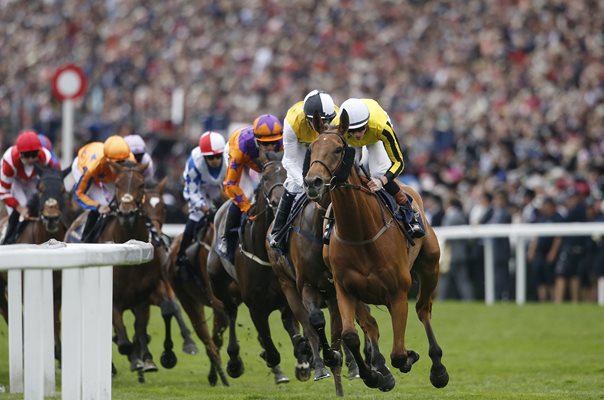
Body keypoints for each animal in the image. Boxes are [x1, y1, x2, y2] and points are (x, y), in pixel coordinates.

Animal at [206, 152, 312, 384]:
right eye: (265, 177)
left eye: (290, 175)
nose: (279, 201)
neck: (265, 255)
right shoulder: (255, 307)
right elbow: (272, 350)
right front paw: (267, 355)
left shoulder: (287, 299)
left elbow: (294, 331)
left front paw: (303, 361)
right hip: (221, 286)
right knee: (231, 313)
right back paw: (234, 361)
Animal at [302, 111, 448, 392]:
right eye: (312, 148)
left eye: (338, 149)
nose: (313, 182)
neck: (360, 235)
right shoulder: (345, 289)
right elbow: (351, 335)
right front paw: (374, 375)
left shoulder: (398, 293)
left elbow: (399, 353)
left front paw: (409, 358)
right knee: (371, 326)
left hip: (430, 266)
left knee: (423, 309)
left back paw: (437, 368)